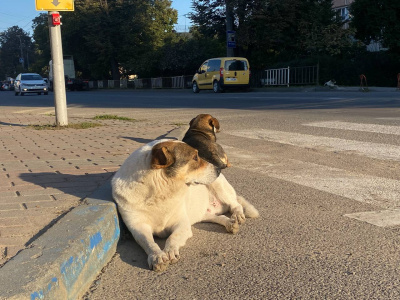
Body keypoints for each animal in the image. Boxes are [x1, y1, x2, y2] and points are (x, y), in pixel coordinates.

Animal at [111, 139, 260, 270]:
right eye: (195, 157)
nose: (219, 169)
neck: (161, 191)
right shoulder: (138, 228)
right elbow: (149, 242)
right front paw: (158, 256)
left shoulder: (182, 224)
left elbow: (172, 237)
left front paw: (170, 251)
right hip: (203, 214)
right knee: (221, 217)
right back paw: (230, 223)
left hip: (220, 187)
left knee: (236, 205)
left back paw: (237, 216)